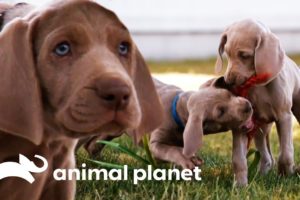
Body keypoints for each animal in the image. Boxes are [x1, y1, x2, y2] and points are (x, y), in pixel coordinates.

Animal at [216, 18, 300, 186]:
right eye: (227, 54)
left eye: (244, 55)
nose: (228, 82)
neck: (257, 84)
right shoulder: (242, 122)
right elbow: (238, 158)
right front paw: (240, 185)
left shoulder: (284, 116)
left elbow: (286, 153)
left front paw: (285, 175)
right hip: (260, 127)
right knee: (266, 156)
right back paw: (262, 174)